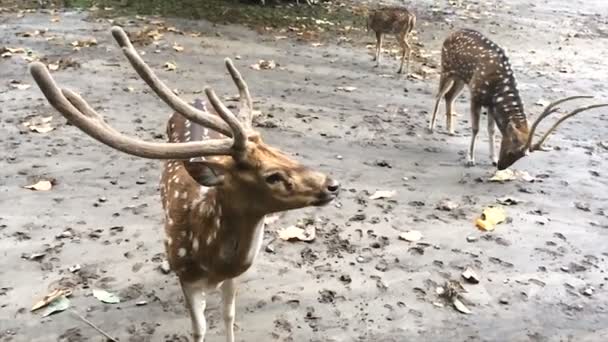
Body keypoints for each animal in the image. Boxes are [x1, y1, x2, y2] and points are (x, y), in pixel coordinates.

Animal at [29, 26, 342, 342]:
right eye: (272, 176)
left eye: (282, 152)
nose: (333, 184)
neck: (212, 259)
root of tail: (197, 101)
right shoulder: (186, 276)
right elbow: (199, 328)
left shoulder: (233, 276)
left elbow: (229, 316)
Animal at [428, 29, 608, 170]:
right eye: (511, 151)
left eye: (520, 157)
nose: (501, 167)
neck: (498, 89)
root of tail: (452, 33)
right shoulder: (476, 96)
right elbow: (475, 129)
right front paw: (470, 159)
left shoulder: (491, 104)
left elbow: (491, 130)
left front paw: (492, 159)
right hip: (446, 68)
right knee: (439, 94)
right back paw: (431, 127)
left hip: (461, 78)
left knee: (449, 96)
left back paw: (450, 130)